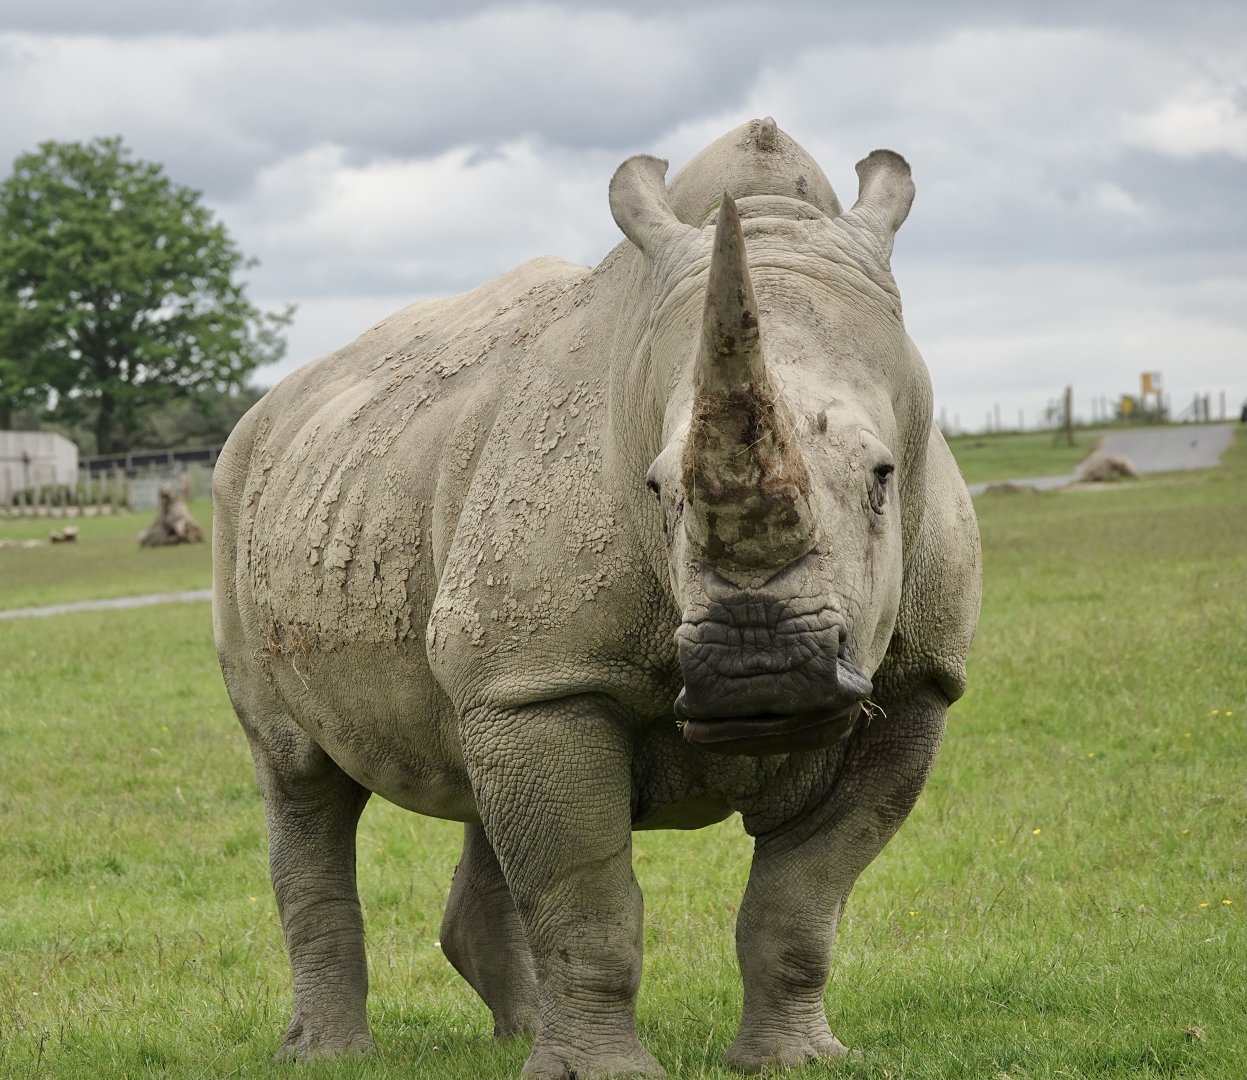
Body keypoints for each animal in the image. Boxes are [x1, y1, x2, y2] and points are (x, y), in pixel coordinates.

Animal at [212, 117, 980, 1078]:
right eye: (656, 490)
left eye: (882, 477)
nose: (760, 672)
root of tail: (273, 409)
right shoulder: (545, 676)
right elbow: (587, 900)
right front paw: (602, 1073)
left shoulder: (916, 682)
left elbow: (802, 899)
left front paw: (793, 1062)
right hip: (241, 489)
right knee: (298, 776)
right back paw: (331, 1054)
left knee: (476, 767)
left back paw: (518, 1035)